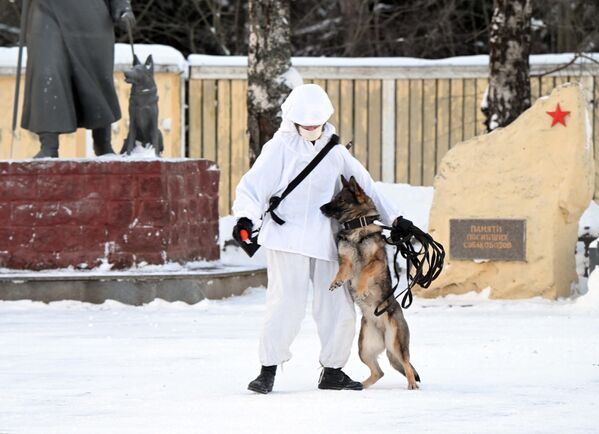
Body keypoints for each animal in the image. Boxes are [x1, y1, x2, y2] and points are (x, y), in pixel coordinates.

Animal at [322, 176, 420, 390]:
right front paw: (336, 281)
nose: (321, 208)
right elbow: (343, 270)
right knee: (379, 372)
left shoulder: (377, 262)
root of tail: (382, 330)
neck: (356, 226)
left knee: (407, 364)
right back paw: (360, 385)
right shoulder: (346, 261)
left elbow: (365, 272)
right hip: (364, 349)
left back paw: (411, 384)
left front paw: (361, 290)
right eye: (334, 198)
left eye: (339, 200)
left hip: (396, 343)